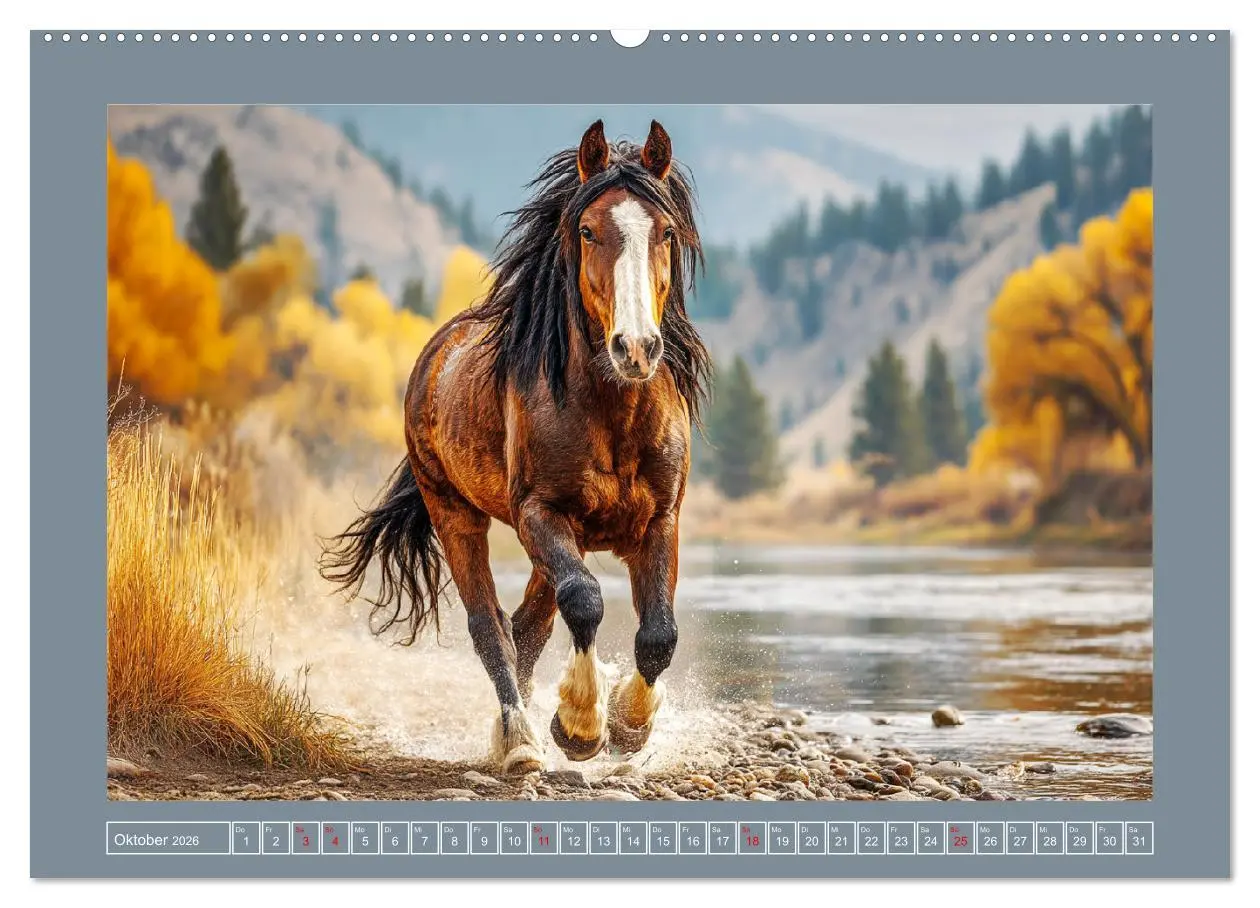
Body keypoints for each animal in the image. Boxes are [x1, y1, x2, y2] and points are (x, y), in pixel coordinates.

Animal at [320, 120, 712, 775]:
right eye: (587, 230)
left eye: (665, 231)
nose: (635, 348)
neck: (614, 415)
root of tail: (434, 355)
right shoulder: (539, 513)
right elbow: (585, 600)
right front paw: (579, 726)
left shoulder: (660, 520)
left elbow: (658, 633)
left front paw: (629, 725)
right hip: (457, 514)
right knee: (491, 625)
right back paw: (520, 740)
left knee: (527, 624)